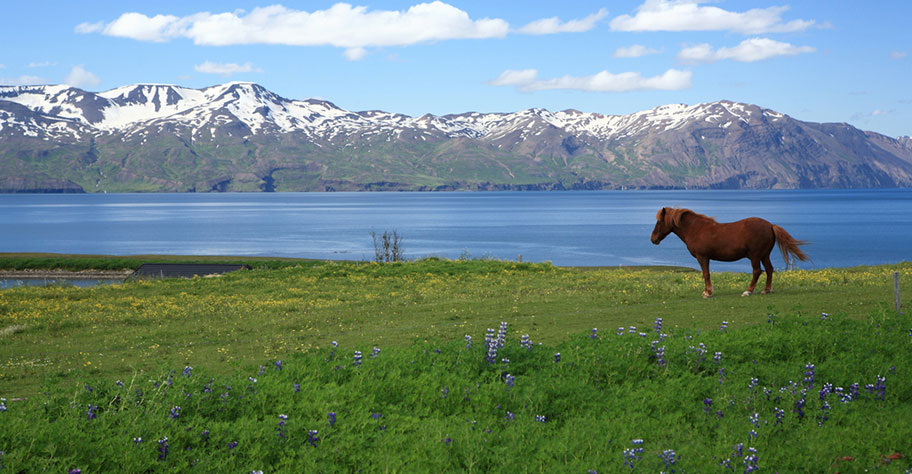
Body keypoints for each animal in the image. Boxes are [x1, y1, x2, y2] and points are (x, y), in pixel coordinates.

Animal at [652, 206, 808, 296]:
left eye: (659, 221)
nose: (653, 239)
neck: (696, 229)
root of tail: (770, 225)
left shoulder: (703, 257)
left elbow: (706, 274)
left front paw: (708, 292)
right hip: (764, 255)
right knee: (769, 270)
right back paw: (766, 290)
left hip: (755, 255)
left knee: (757, 271)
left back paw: (748, 291)